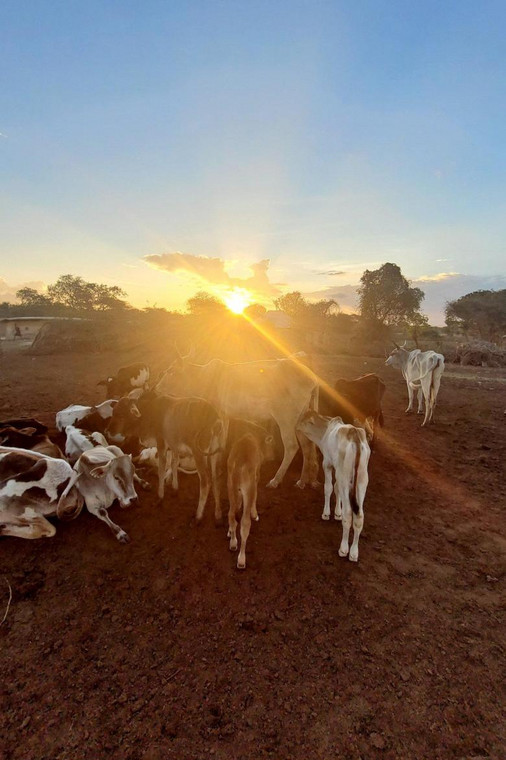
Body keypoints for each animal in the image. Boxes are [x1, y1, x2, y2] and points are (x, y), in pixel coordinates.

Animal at [105, 392, 224, 524]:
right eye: (113, 412)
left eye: (120, 414)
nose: (107, 431)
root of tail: (216, 419)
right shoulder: (173, 446)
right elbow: (174, 464)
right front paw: (175, 488)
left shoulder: (161, 443)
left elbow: (161, 470)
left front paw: (160, 496)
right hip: (215, 454)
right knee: (216, 478)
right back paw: (218, 514)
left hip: (199, 454)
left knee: (205, 481)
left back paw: (198, 516)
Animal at [156, 350, 318, 486]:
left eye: (171, 371)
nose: (157, 388)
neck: (203, 378)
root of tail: (312, 378)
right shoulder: (225, 415)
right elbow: (222, 441)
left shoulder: (217, 413)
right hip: (300, 421)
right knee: (307, 446)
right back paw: (302, 481)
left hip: (286, 419)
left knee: (292, 446)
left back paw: (275, 480)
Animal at [227, 422, 274, 568]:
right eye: (270, 444)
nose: (272, 456)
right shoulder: (256, 477)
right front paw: (255, 514)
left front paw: (229, 532)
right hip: (248, 487)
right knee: (245, 523)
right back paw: (241, 559)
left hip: (230, 484)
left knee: (231, 514)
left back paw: (233, 541)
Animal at [296, 412, 372, 560]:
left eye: (303, 420)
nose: (295, 426)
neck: (325, 431)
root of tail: (355, 436)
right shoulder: (338, 471)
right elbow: (337, 489)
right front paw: (337, 513)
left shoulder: (327, 463)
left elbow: (328, 488)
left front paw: (326, 513)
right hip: (361, 480)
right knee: (359, 516)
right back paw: (354, 552)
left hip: (345, 474)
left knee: (348, 514)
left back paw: (343, 549)